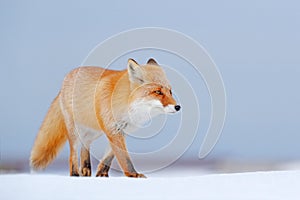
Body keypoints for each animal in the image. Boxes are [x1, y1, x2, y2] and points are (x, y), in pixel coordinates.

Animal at [29, 58, 180, 178]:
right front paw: (133, 175)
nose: (178, 107)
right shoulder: (113, 129)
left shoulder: (121, 131)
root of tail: (67, 78)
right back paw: (75, 174)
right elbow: (124, 158)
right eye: (158, 92)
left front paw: (102, 174)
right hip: (74, 131)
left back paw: (86, 170)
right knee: (73, 153)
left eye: (170, 92)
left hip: (93, 131)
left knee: (85, 145)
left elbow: (109, 156)